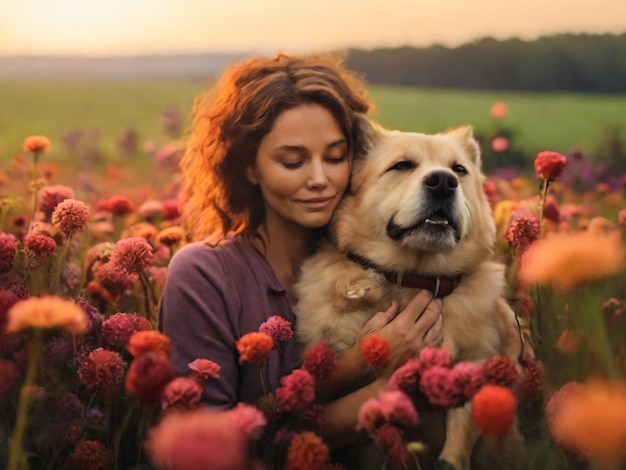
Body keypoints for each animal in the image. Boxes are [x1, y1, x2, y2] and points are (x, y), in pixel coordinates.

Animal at [292, 122, 520, 470]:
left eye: (459, 170)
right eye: (401, 166)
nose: (443, 182)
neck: (416, 278)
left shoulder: (477, 366)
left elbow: (458, 441)